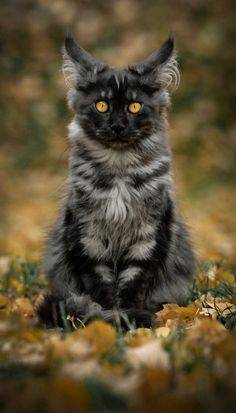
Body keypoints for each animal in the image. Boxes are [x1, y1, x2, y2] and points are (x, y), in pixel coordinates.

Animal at [37, 37, 195, 330]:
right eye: (102, 105)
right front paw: (110, 319)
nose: (118, 126)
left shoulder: (148, 237)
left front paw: (129, 319)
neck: (119, 170)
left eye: (134, 107)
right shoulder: (88, 238)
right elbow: (101, 288)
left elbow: (133, 284)